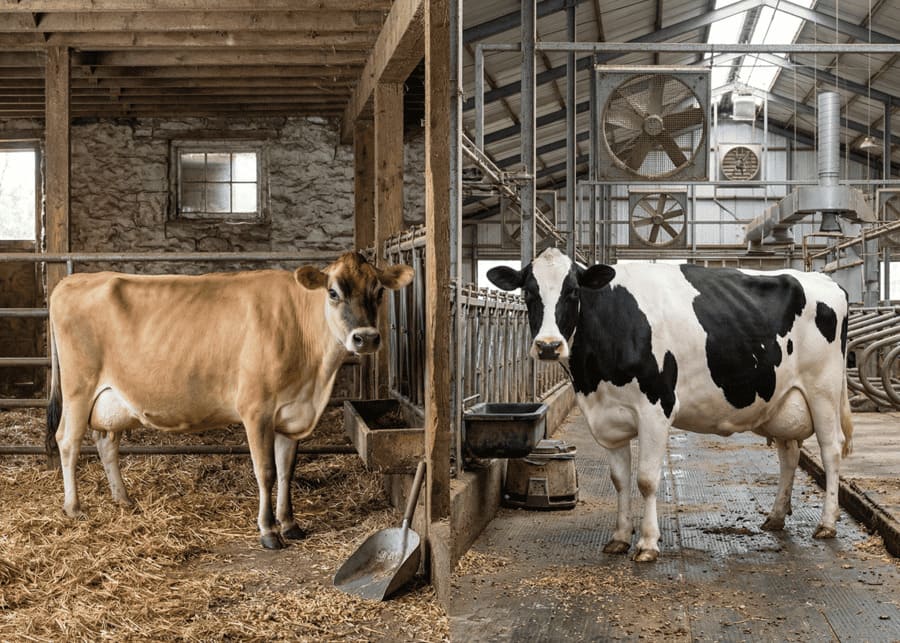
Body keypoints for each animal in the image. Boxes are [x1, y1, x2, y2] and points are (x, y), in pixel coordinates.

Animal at [47, 252, 413, 549]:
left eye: (378, 291)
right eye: (333, 292)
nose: (365, 338)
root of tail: (72, 280)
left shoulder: (291, 415)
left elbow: (287, 470)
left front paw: (290, 524)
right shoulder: (257, 410)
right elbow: (266, 471)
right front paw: (268, 531)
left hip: (111, 401)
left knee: (106, 443)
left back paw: (123, 500)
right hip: (79, 389)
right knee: (67, 440)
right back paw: (74, 508)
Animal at [488, 247, 853, 562]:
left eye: (573, 292)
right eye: (529, 294)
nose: (548, 346)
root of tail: (825, 280)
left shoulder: (655, 407)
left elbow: (647, 479)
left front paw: (648, 543)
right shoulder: (608, 417)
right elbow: (620, 480)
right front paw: (620, 538)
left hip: (823, 390)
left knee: (831, 450)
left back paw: (826, 523)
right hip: (782, 399)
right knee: (789, 454)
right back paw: (776, 517)